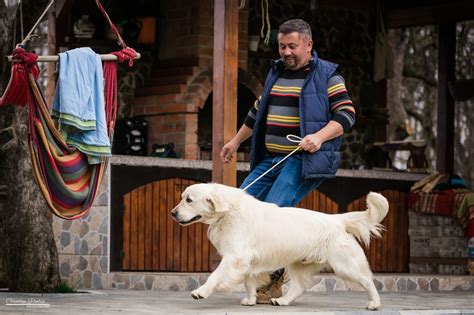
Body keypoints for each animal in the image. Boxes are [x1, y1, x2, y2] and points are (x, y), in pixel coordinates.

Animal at [170, 184, 388, 310]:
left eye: (189, 200)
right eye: (182, 198)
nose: (173, 213)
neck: (229, 211)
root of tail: (338, 220)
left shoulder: (234, 257)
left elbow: (215, 276)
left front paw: (201, 292)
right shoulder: (247, 260)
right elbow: (248, 281)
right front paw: (250, 299)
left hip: (345, 265)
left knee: (368, 280)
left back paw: (375, 303)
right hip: (298, 264)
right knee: (298, 287)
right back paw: (282, 301)